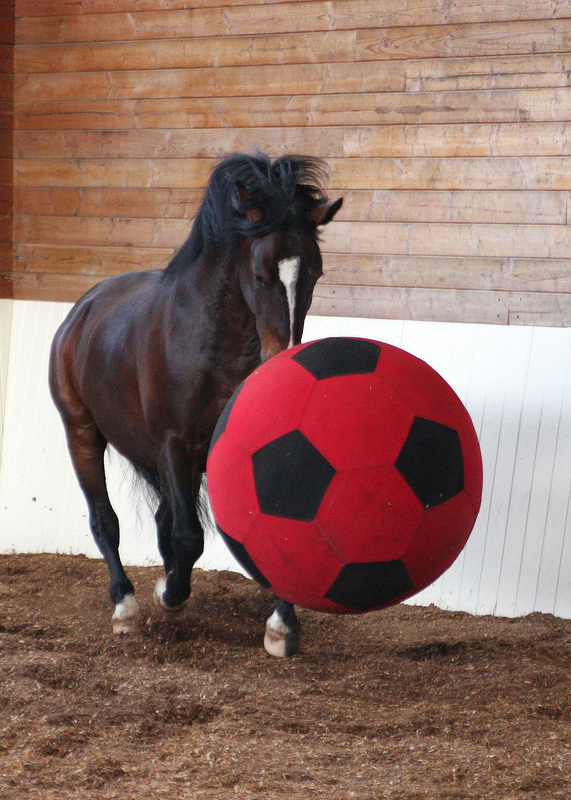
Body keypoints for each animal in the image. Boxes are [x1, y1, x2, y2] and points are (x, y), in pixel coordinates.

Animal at [49, 152, 343, 657]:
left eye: (315, 274)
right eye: (261, 274)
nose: (283, 357)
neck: (213, 344)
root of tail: (84, 309)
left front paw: (282, 627)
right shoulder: (174, 444)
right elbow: (188, 537)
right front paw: (169, 594)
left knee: (162, 517)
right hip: (82, 433)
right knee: (106, 521)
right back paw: (126, 606)